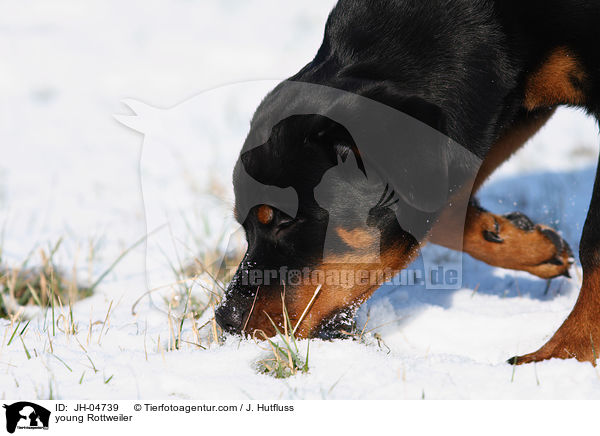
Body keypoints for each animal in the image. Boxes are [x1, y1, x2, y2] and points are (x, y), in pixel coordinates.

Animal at [216, 0, 600, 362]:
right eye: (244, 226)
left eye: (285, 221)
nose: (225, 319)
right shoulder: (490, 109)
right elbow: (440, 207)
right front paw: (522, 242)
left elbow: (592, 244)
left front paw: (565, 353)